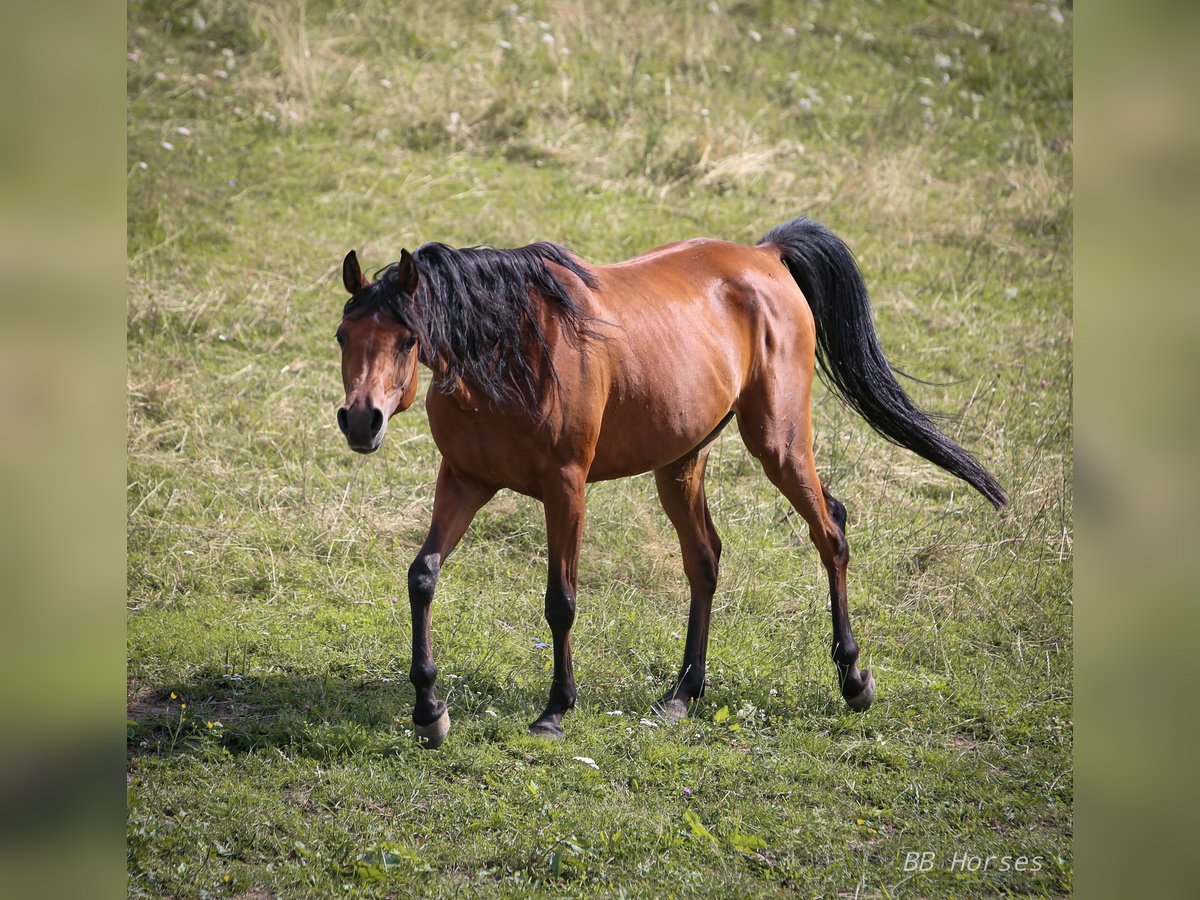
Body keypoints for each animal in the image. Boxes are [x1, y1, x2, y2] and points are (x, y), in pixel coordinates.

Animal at [333, 217, 1008, 748]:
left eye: (408, 337)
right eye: (343, 335)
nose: (362, 420)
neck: (513, 351)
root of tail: (766, 255)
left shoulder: (566, 486)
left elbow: (560, 600)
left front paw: (555, 709)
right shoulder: (465, 480)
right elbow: (422, 576)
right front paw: (429, 711)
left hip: (779, 443)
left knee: (831, 532)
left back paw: (853, 680)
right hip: (681, 463)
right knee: (705, 560)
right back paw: (683, 693)